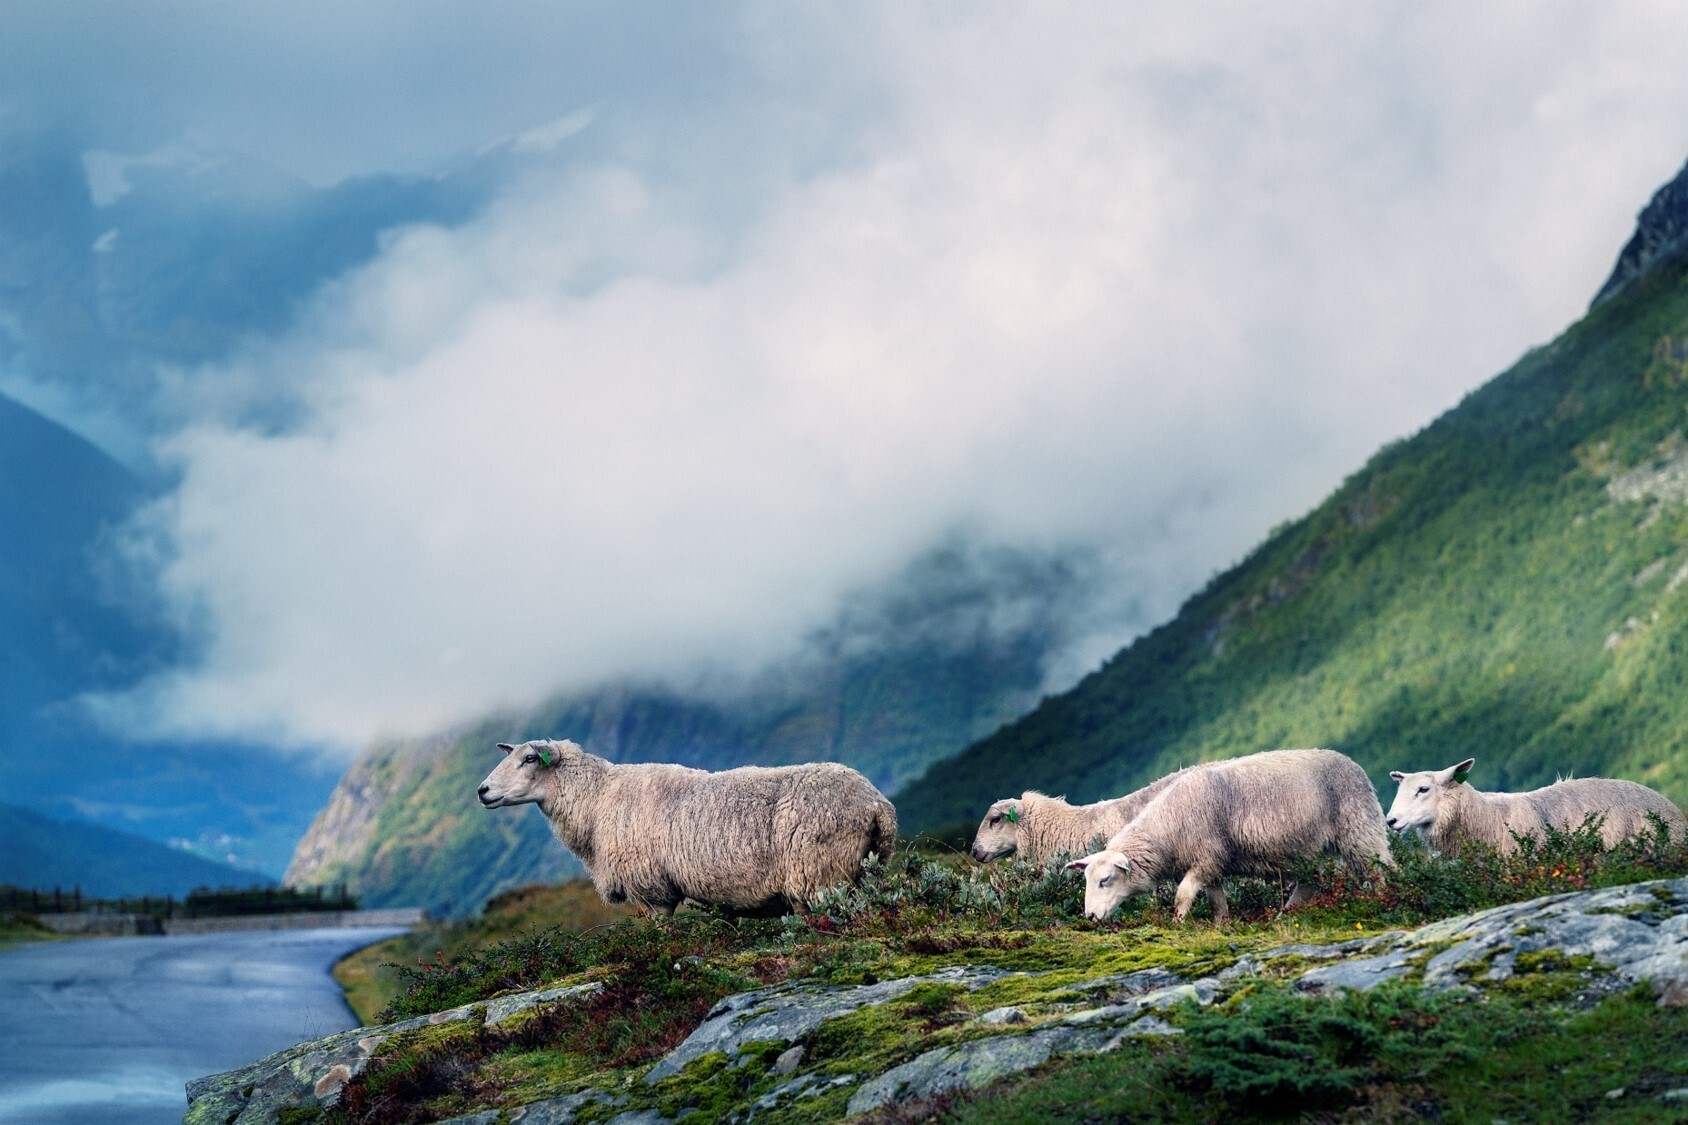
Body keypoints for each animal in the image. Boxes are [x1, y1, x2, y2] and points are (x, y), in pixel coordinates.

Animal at [476, 739, 896, 916]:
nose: (482, 791)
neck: (597, 799)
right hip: (862, 869)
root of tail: (877, 804)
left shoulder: (654, 890)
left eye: (530, 759)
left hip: (819, 873)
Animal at [1065, 748, 1392, 923]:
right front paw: (1222, 923)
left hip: (1360, 829)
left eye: (1104, 880)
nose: (1090, 916)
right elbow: (1215, 899)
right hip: (1310, 849)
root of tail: (1355, 766)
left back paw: (1387, 899)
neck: (1167, 830)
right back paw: (1286, 914)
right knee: (1311, 881)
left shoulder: (1206, 858)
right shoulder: (1211, 865)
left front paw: (1178, 922)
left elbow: (1183, 894)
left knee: (1381, 868)